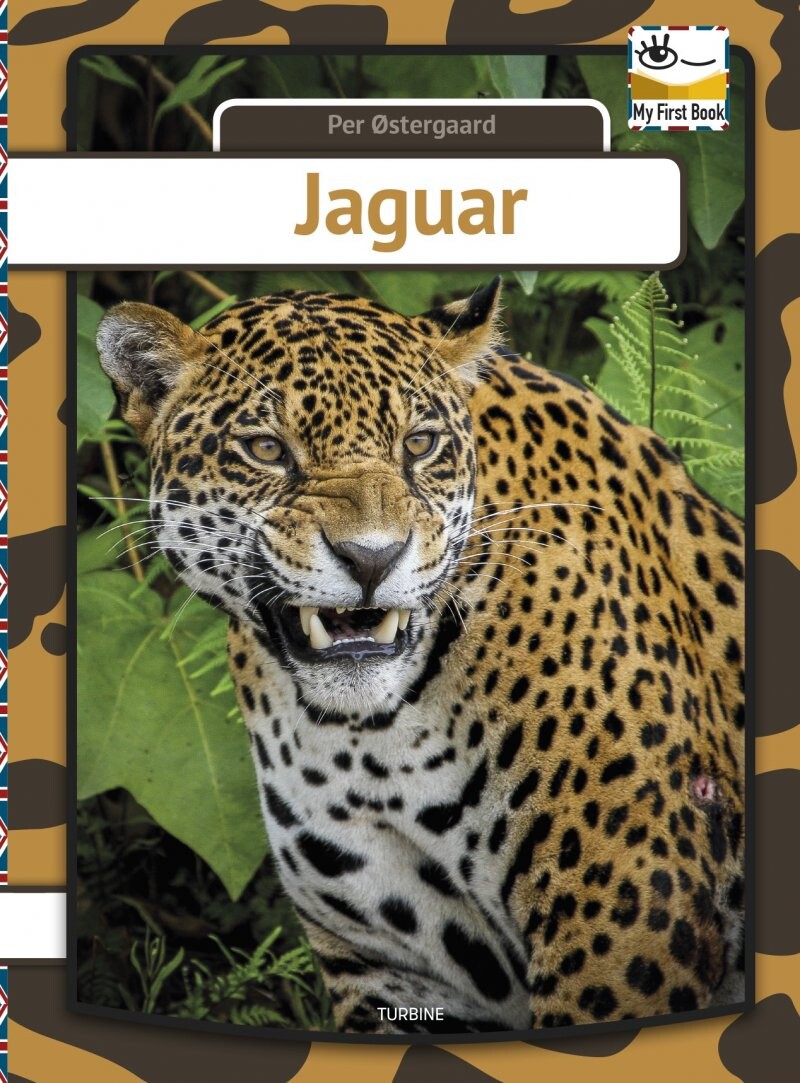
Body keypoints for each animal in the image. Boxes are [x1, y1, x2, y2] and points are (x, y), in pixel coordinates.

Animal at [96, 279, 746, 1035]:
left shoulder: (629, 913)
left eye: (420, 443)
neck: (372, 742)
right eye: (264, 448)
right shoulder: (387, 967)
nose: (372, 557)